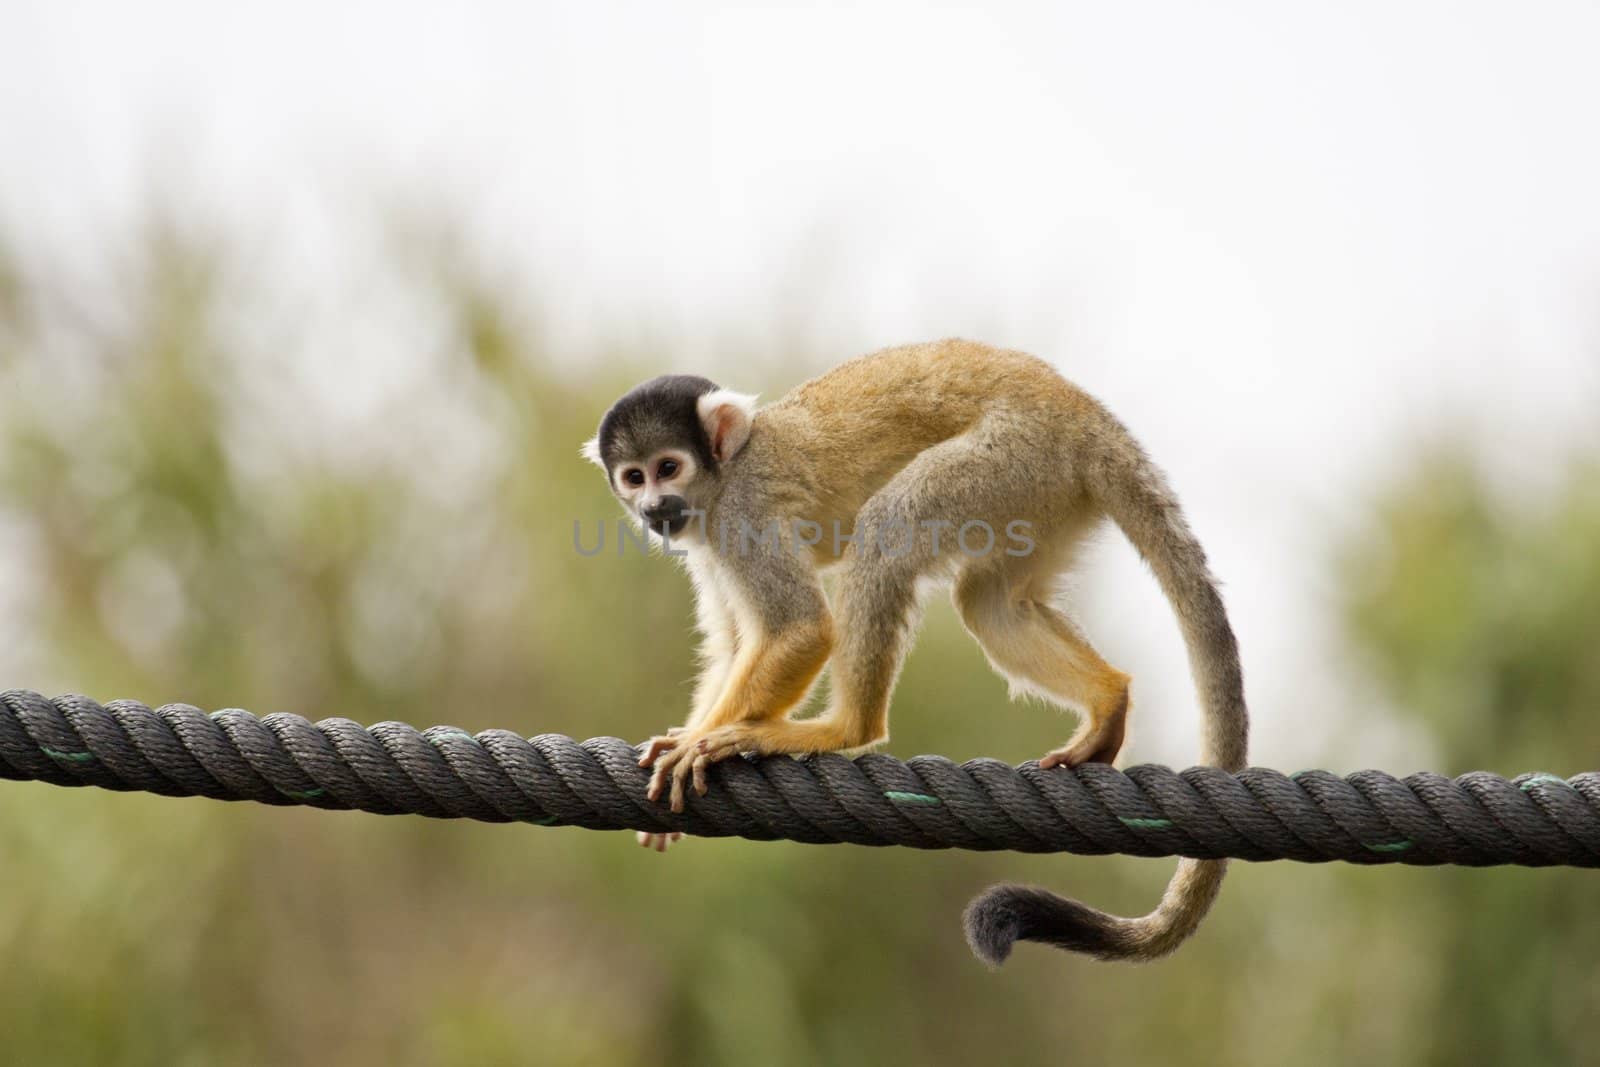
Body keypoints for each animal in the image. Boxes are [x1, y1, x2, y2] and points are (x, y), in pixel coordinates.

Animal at [582, 342, 1241, 966]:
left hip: (1011, 457)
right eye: (635, 477)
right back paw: (1108, 700)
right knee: (990, 603)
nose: (653, 508)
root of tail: (1083, 415)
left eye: (669, 468)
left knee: (888, 529)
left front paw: (697, 743)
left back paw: (844, 728)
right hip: (1043, 492)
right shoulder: (705, 541)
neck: (724, 476)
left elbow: (801, 629)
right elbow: (732, 644)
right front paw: (685, 740)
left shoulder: (744, 513)